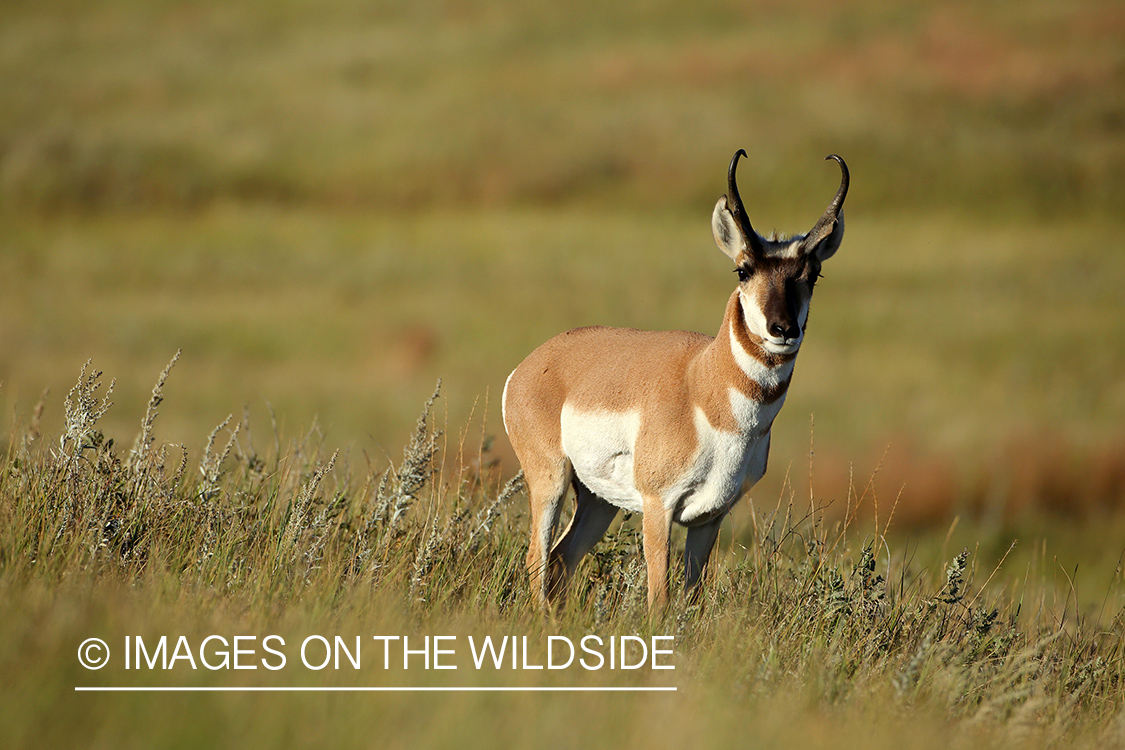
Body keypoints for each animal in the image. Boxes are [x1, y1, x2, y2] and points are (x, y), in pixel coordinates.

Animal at [502, 150, 848, 610]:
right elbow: (659, 599)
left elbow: (691, 598)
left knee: (561, 559)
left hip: (597, 501)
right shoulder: (658, 507)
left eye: (812, 275)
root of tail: (533, 363)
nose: (783, 329)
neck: (704, 384)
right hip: (552, 481)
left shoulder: (709, 519)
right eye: (743, 270)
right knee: (536, 559)